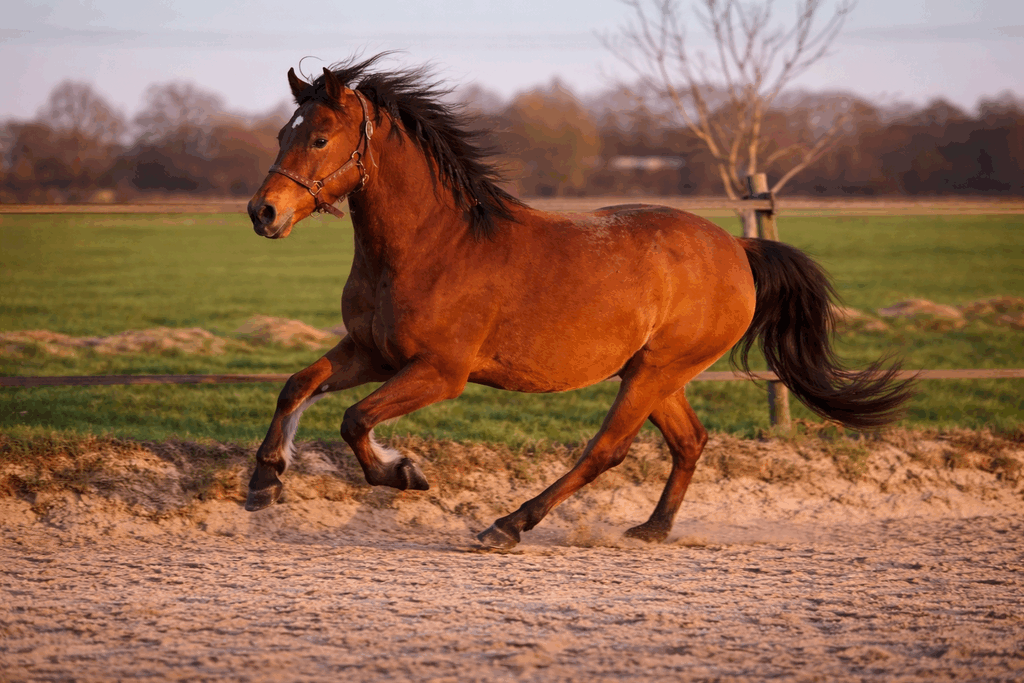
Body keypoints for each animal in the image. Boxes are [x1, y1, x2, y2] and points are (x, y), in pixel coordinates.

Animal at [244, 54, 913, 549]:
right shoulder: (370, 351)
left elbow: (356, 420)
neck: (431, 245)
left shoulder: (440, 372)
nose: (263, 212)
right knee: (689, 441)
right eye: (281, 134)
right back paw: (652, 529)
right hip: (654, 372)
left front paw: (403, 471)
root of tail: (736, 248)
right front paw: (264, 480)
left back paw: (507, 526)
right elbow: (298, 386)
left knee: (607, 450)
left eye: (320, 138)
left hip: (655, 371)